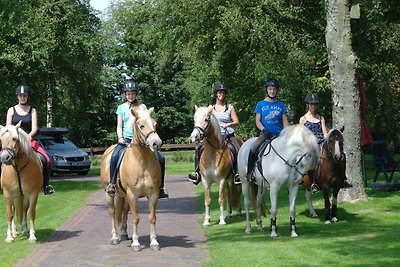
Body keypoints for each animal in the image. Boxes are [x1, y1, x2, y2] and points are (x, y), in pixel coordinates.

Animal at [100, 105, 162, 252]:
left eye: (155, 123)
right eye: (141, 125)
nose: (157, 143)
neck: (142, 161)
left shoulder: (153, 194)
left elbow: (152, 217)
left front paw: (154, 242)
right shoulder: (132, 195)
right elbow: (135, 218)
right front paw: (136, 243)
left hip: (124, 196)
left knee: (123, 211)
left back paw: (123, 234)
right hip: (109, 193)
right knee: (112, 212)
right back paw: (115, 237)